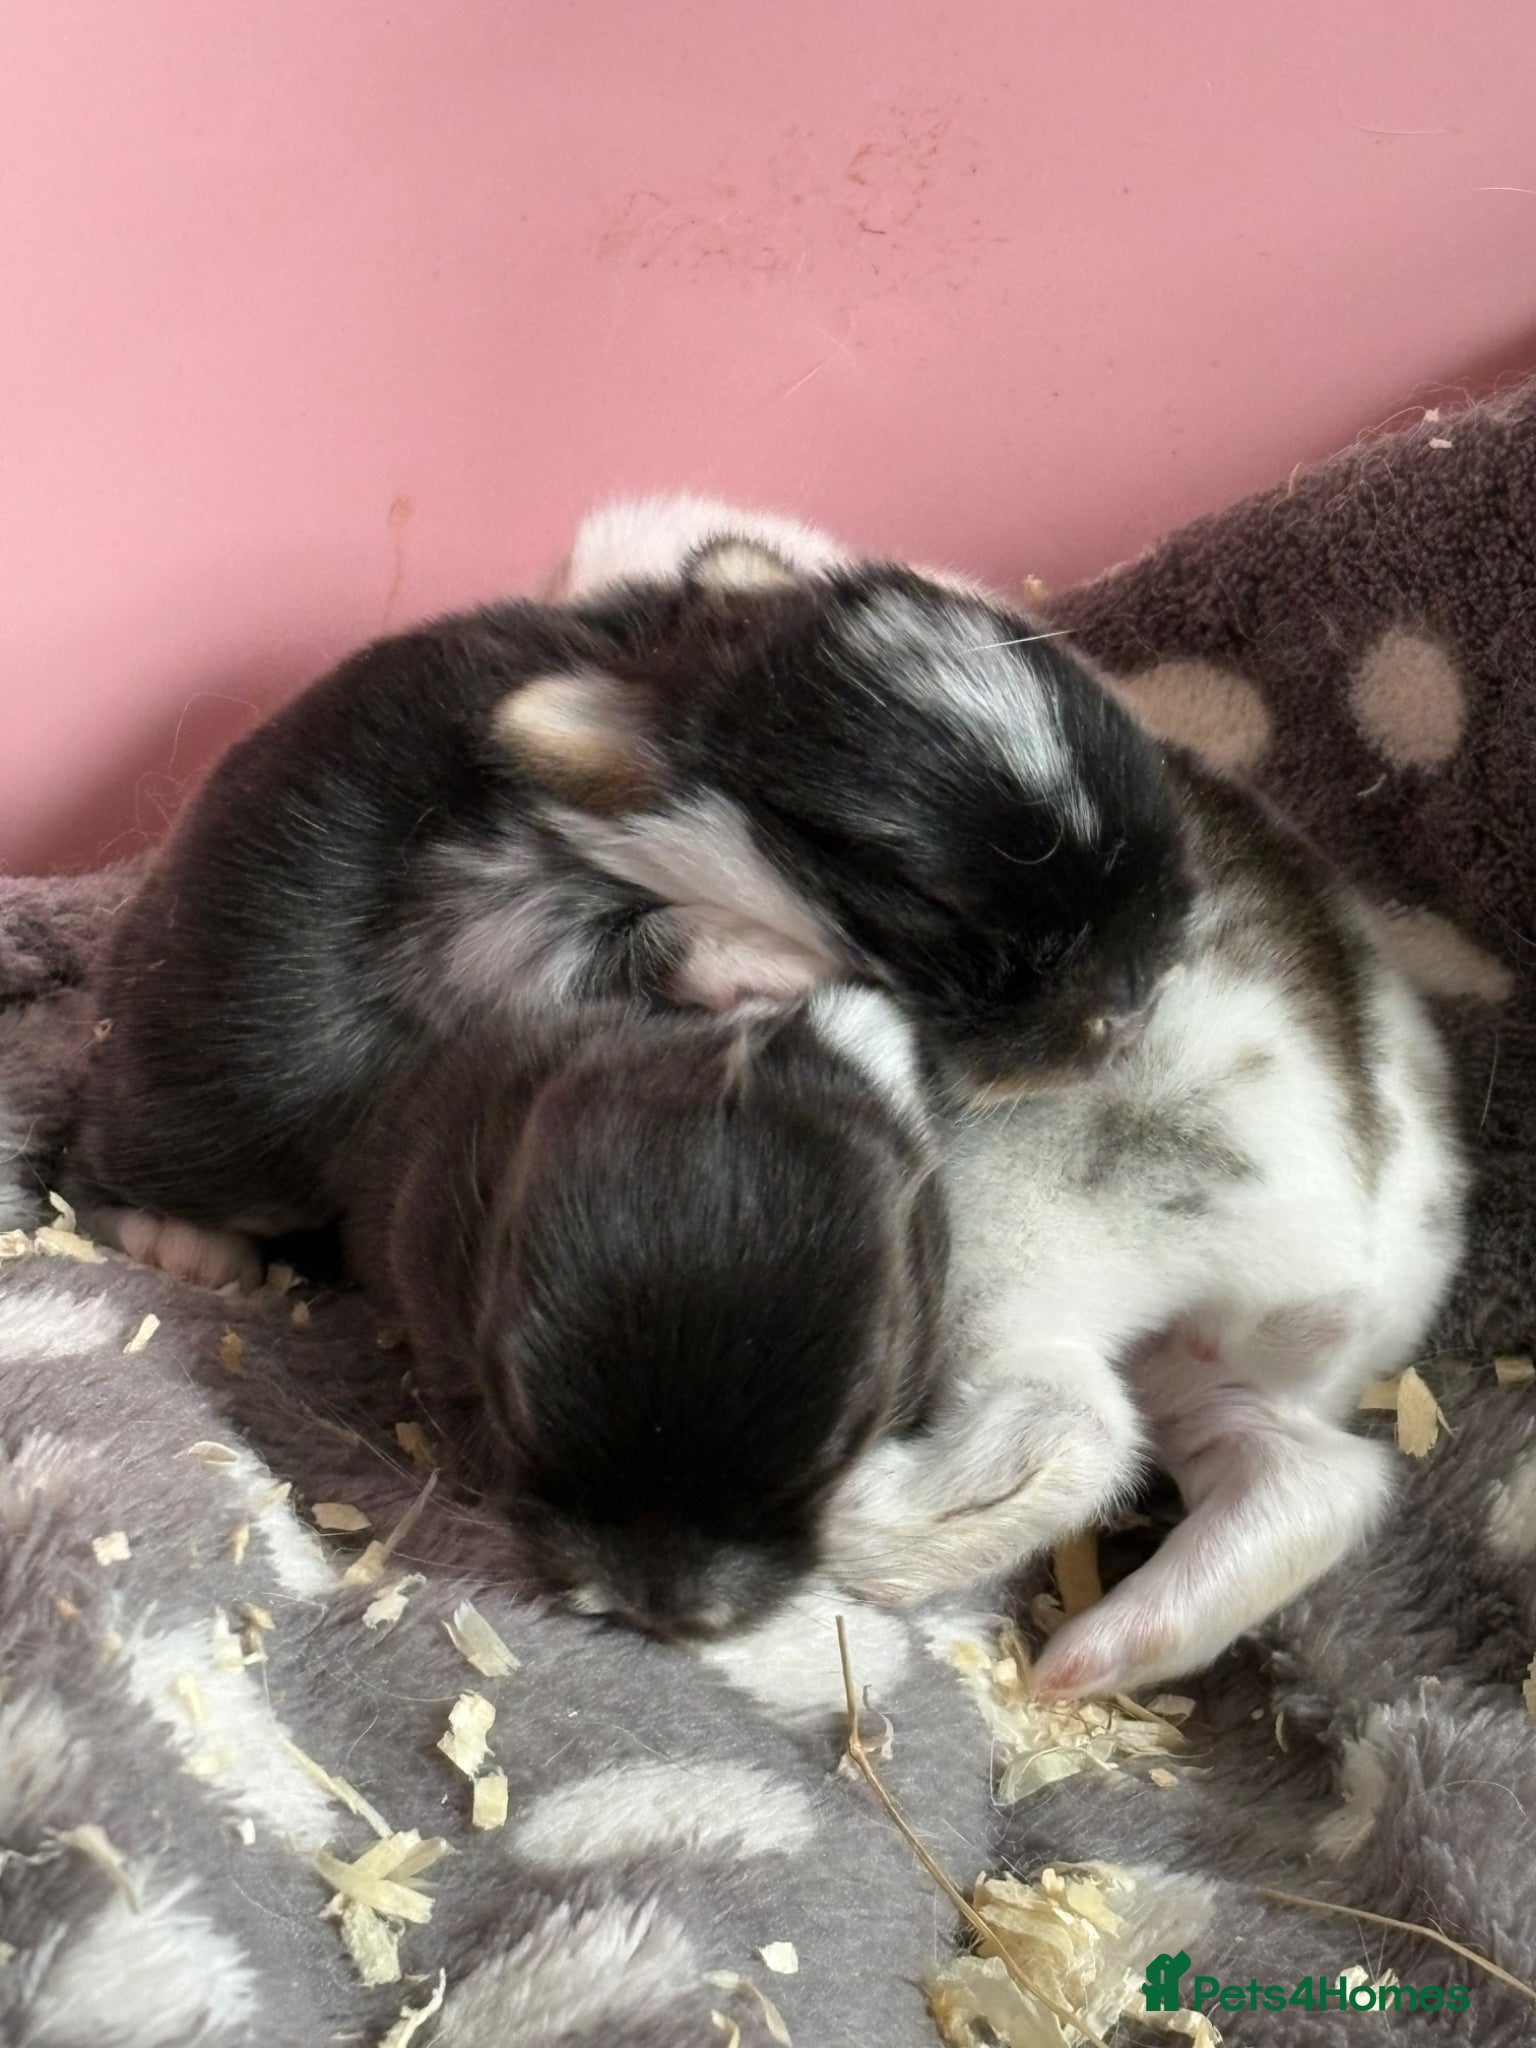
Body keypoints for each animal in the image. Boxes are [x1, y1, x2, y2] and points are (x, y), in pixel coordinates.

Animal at [73, 499, 1190, 1286]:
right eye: (918, 893)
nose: (1134, 1002)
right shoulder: (489, 938)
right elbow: (658, 936)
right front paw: (784, 961)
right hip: (206, 1127)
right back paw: (191, 1250)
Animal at [824, 752, 1468, 1698]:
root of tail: (1350, 1260)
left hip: (1013, 1242)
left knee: (1069, 1427)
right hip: (1214, 1369)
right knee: (1315, 1481)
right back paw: (1095, 1656)